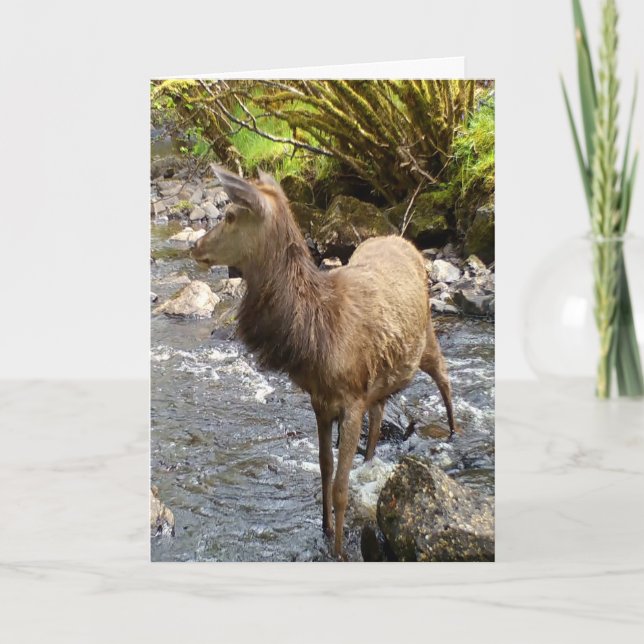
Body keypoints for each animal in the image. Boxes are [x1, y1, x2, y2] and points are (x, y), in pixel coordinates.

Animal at [191, 166, 456, 559]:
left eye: (231, 215)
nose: (194, 246)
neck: (317, 337)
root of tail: (403, 240)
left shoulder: (351, 400)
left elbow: (341, 488)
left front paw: (339, 549)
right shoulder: (320, 400)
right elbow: (324, 469)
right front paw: (324, 526)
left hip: (427, 335)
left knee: (444, 376)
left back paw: (454, 433)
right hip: (381, 376)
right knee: (380, 412)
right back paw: (371, 459)